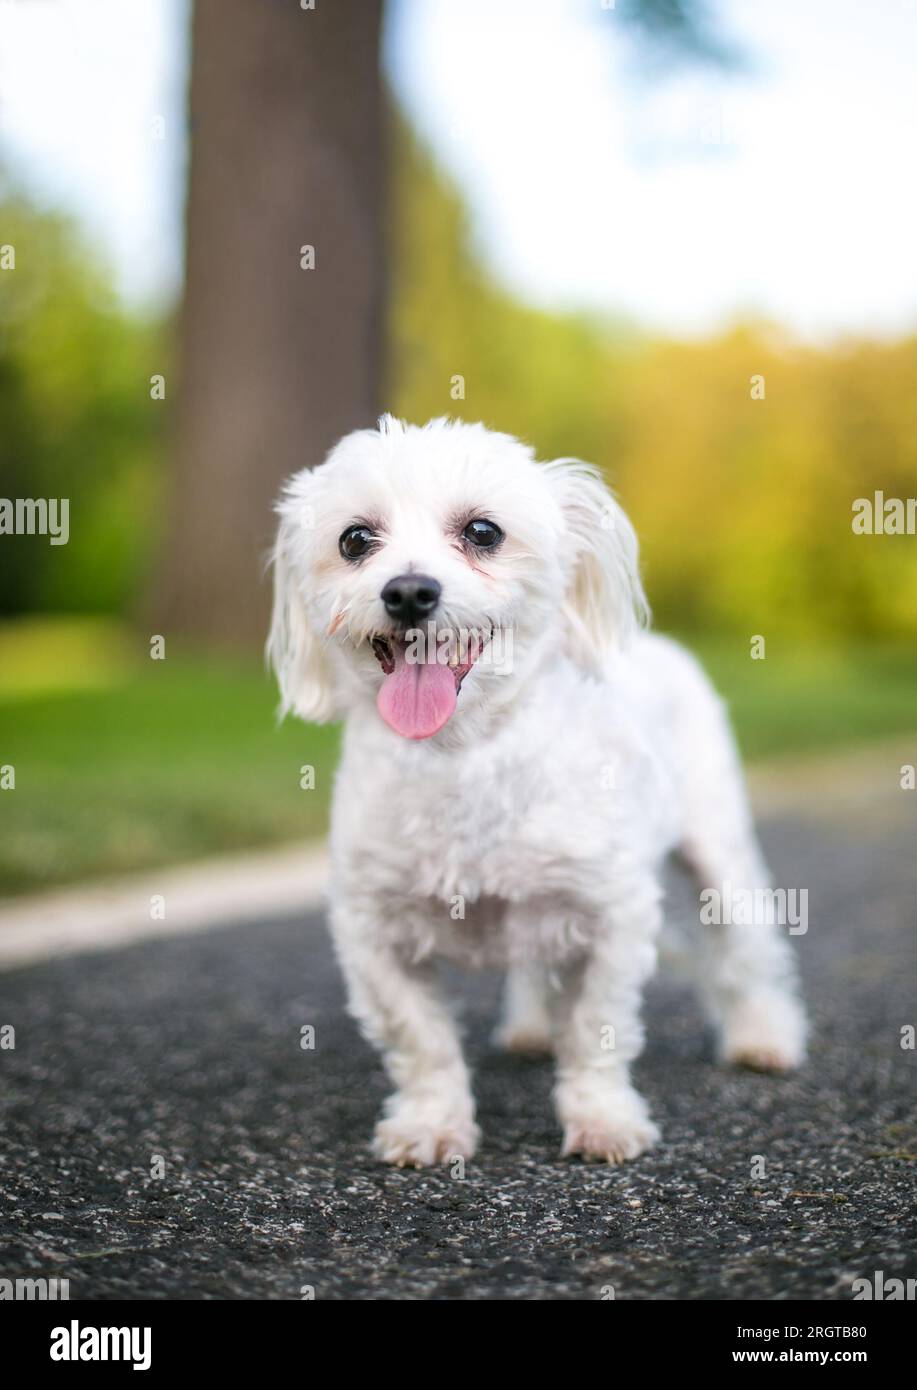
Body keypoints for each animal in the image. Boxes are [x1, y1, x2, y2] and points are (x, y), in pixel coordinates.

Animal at [268, 417, 805, 1167]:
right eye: (354, 540)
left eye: (483, 531)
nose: (408, 592)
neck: (464, 756)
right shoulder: (372, 931)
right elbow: (421, 1040)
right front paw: (431, 1122)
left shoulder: (611, 915)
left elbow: (597, 1028)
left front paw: (602, 1118)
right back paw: (531, 1028)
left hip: (717, 853)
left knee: (745, 950)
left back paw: (762, 1037)